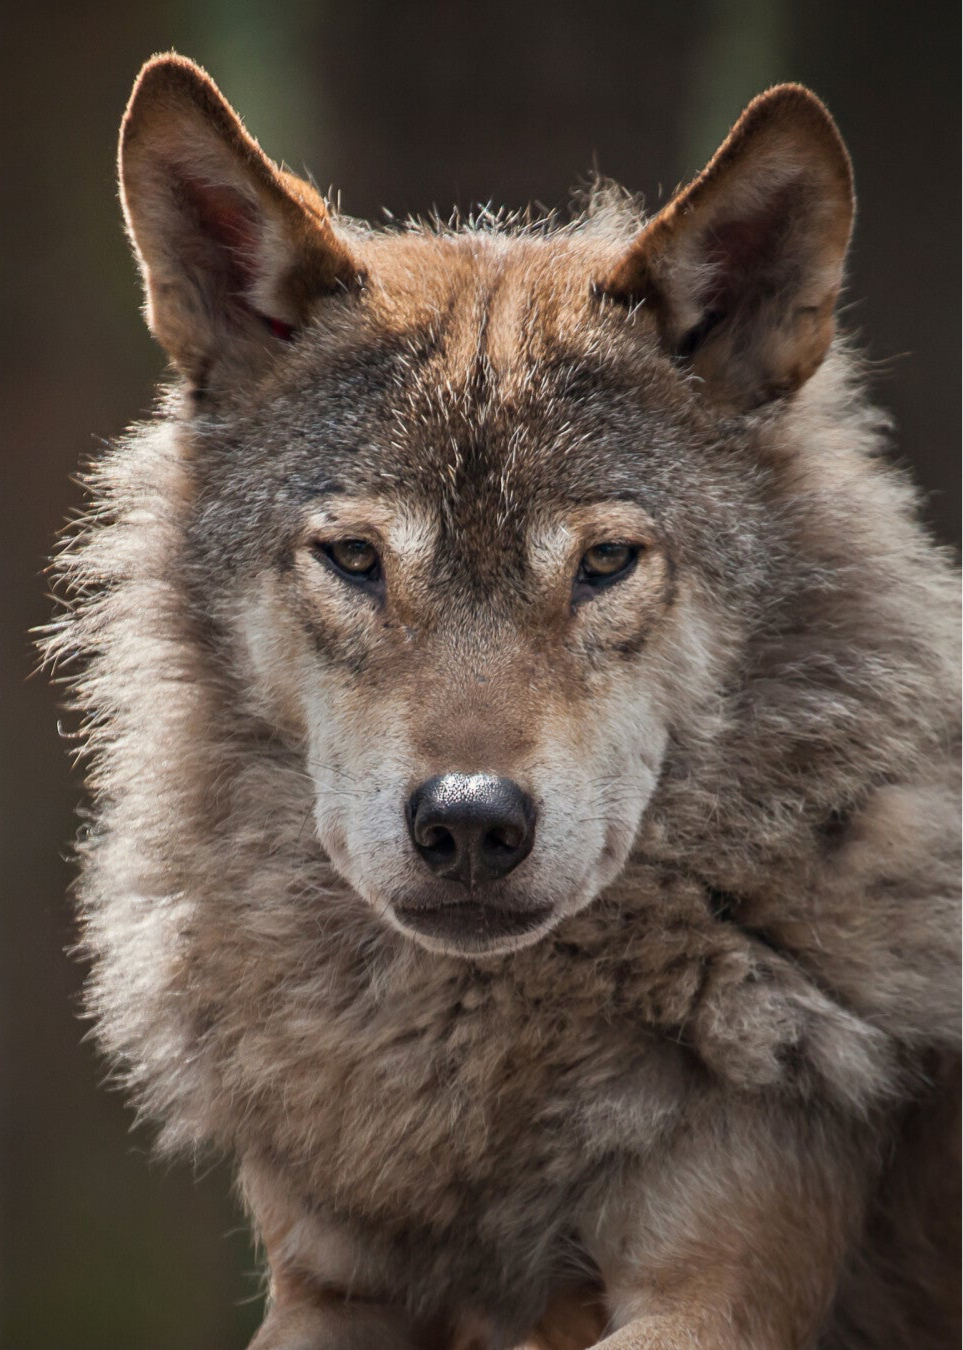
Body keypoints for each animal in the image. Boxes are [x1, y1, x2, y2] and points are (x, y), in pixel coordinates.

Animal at [46, 52, 963, 1349]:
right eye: (356, 559)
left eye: (605, 564)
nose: (471, 822)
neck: (475, 1073)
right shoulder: (324, 1288)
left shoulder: (719, 1281)